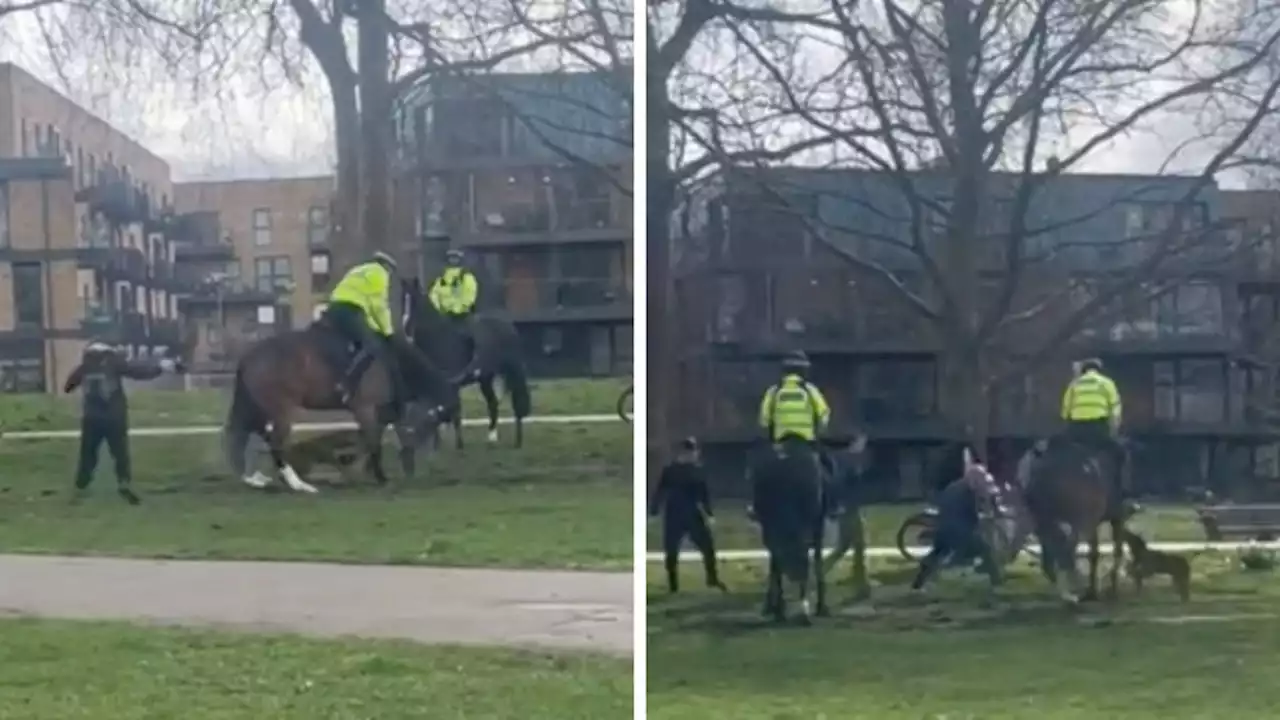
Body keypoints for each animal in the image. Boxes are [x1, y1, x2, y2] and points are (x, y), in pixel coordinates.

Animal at [225, 315, 460, 491]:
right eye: (432, 419)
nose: (412, 463)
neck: (390, 361)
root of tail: (248, 357)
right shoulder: (365, 408)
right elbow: (371, 443)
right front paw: (374, 475)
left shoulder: (381, 412)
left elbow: (370, 441)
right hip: (281, 410)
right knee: (273, 442)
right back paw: (297, 484)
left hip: (258, 408)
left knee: (245, 434)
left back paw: (254, 478)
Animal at [404, 278, 535, 445]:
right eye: (404, 300)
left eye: (414, 301)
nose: (406, 329)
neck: (439, 337)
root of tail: (509, 327)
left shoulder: (450, 384)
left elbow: (454, 411)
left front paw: (458, 444)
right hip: (486, 379)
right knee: (493, 403)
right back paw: (492, 437)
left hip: (513, 371)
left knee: (518, 402)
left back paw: (517, 441)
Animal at [1024, 438, 1126, 599]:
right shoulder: (1113, 518)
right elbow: (1112, 550)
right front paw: (1106, 588)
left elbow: (1095, 552)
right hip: (1078, 521)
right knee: (1066, 551)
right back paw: (1072, 593)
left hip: (1044, 521)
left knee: (1051, 556)